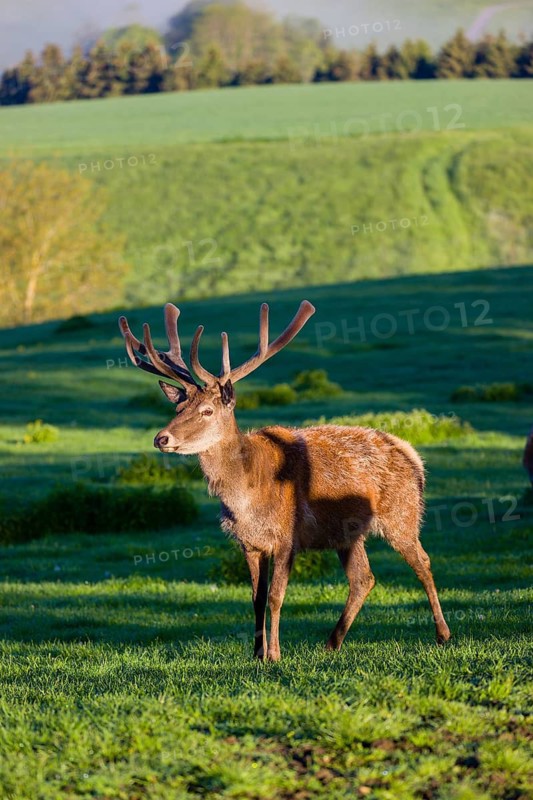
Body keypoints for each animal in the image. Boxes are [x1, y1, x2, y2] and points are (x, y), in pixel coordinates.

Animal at [119, 301, 451, 661]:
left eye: (207, 410)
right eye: (178, 406)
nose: (162, 438)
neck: (245, 499)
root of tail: (411, 455)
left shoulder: (287, 536)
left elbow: (277, 596)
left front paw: (275, 654)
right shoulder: (249, 543)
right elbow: (256, 599)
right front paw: (256, 654)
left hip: (401, 513)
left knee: (422, 562)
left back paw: (442, 634)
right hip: (347, 534)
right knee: (364, 578)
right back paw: (331, 642)